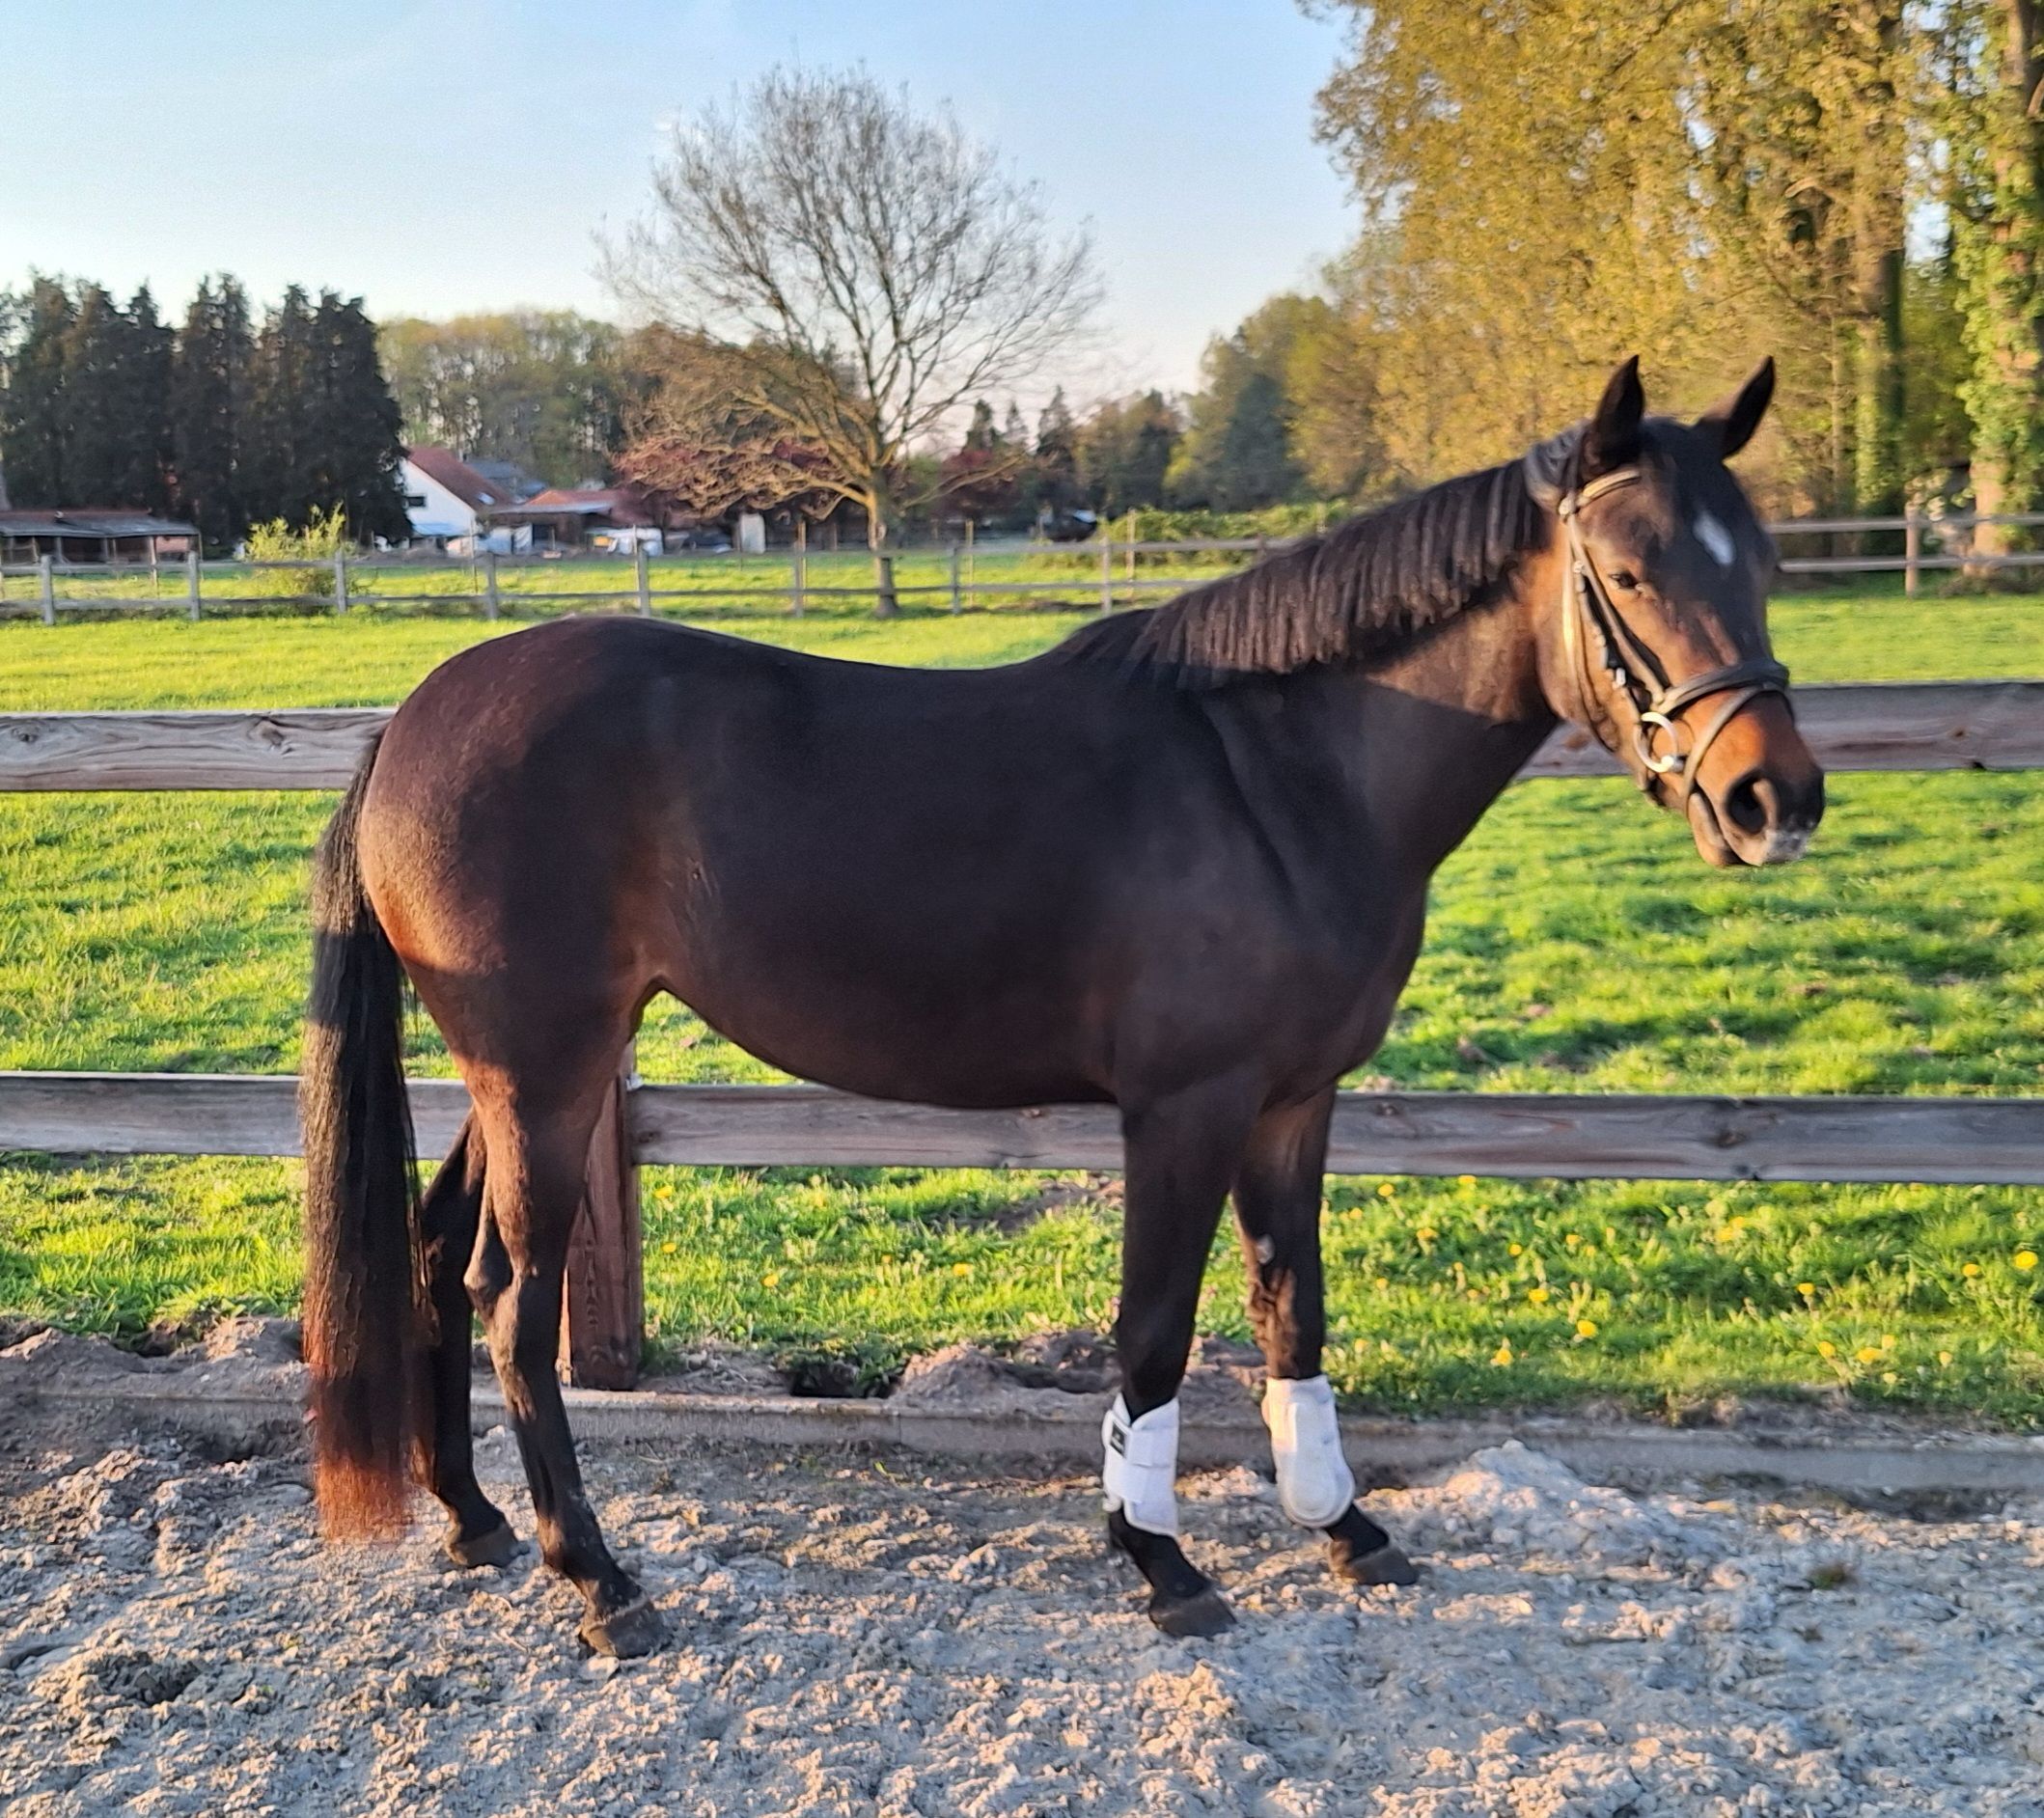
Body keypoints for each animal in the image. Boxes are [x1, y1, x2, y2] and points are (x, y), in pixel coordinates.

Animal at [300, 356, 1823, 1655]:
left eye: (1764, 566)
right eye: (1626, 568)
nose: (1772, 801)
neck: (1280, 777)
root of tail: (412, 722)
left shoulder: (1294, 1102)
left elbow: (1294, 1312)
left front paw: (1345, 1529)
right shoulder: (1185, 1109)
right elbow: (1154, 1332)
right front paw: (1159, 1559)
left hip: (519, 1076)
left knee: (436, 1260)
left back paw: (474, 1521)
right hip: (546, 1072)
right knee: (513, 1304)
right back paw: (599, 1578)